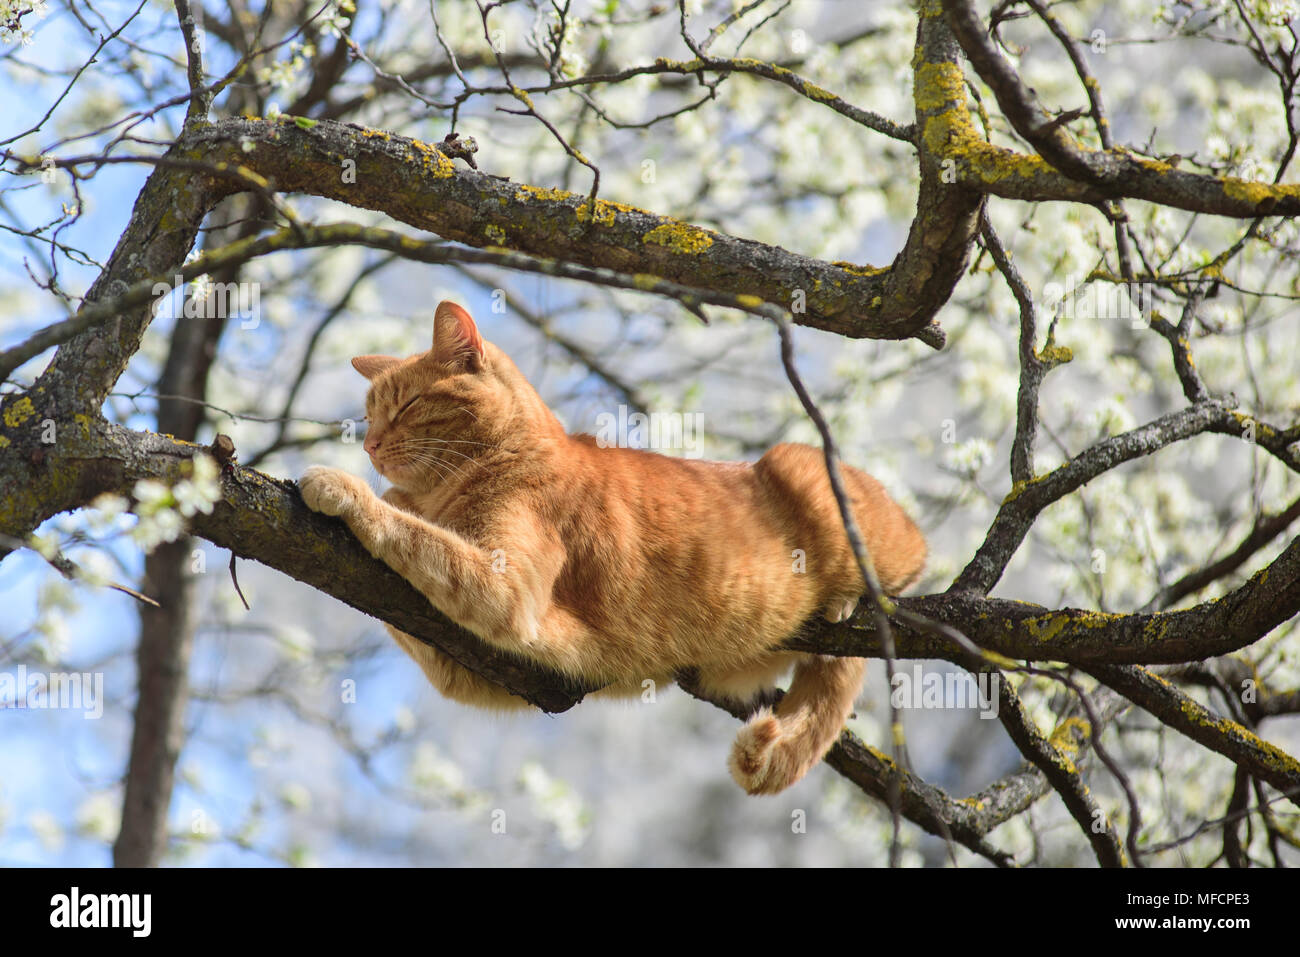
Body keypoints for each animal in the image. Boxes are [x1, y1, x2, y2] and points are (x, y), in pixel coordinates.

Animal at [297, 300, 925, 790]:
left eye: (405, 406)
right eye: (368, 415)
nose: (370, 445)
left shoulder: (506, 591)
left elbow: (412, 533)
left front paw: (340, 487)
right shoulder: (468, 670)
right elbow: (410, 549)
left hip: (803, 469)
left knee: (920, 552)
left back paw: (849, 597)